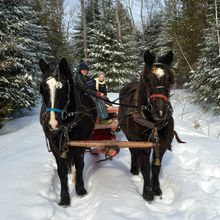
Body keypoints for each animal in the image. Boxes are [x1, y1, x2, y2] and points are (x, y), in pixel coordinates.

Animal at [38, 58, 96, 206]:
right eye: (42, 89)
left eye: (63, 88)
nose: (53, 123)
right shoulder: (55, 144)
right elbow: (62, 170)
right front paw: (64, 197)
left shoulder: (80, 142)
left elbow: (80, 164)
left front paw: (80, 189)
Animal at [117, 50, 176, 202]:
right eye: (147, 78)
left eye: (169, 78)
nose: (160, 112)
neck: (153, 123)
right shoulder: (141, 143)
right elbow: (145, 167)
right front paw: (147, 193)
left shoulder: (162, 144)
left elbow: (155, 167)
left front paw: (156, 189)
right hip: (130, 137)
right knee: (133, 152)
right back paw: (134, 169)